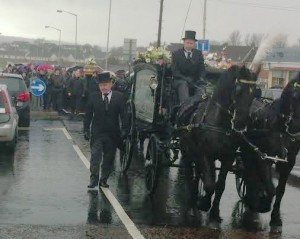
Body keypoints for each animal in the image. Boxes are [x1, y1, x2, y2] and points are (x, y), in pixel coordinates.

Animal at [176, 64, 260, 224]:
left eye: (254, 93)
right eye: (238, 89)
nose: (241, 123)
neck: (219, 124)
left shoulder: (228, 157)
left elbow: (220, 185)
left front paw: (214, 212)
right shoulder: (205, 154)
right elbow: (210, 184)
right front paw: (203, 203)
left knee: (198, 174)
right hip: (187, 150)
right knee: (190, 175)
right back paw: (191, 202)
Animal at [245, 73, 300, 233]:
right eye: (294, 94)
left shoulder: (288, 161)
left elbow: (280, 190)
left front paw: (276, 219)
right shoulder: (264, 157)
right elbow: (270, 188)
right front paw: (263, 204)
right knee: (249, 175)